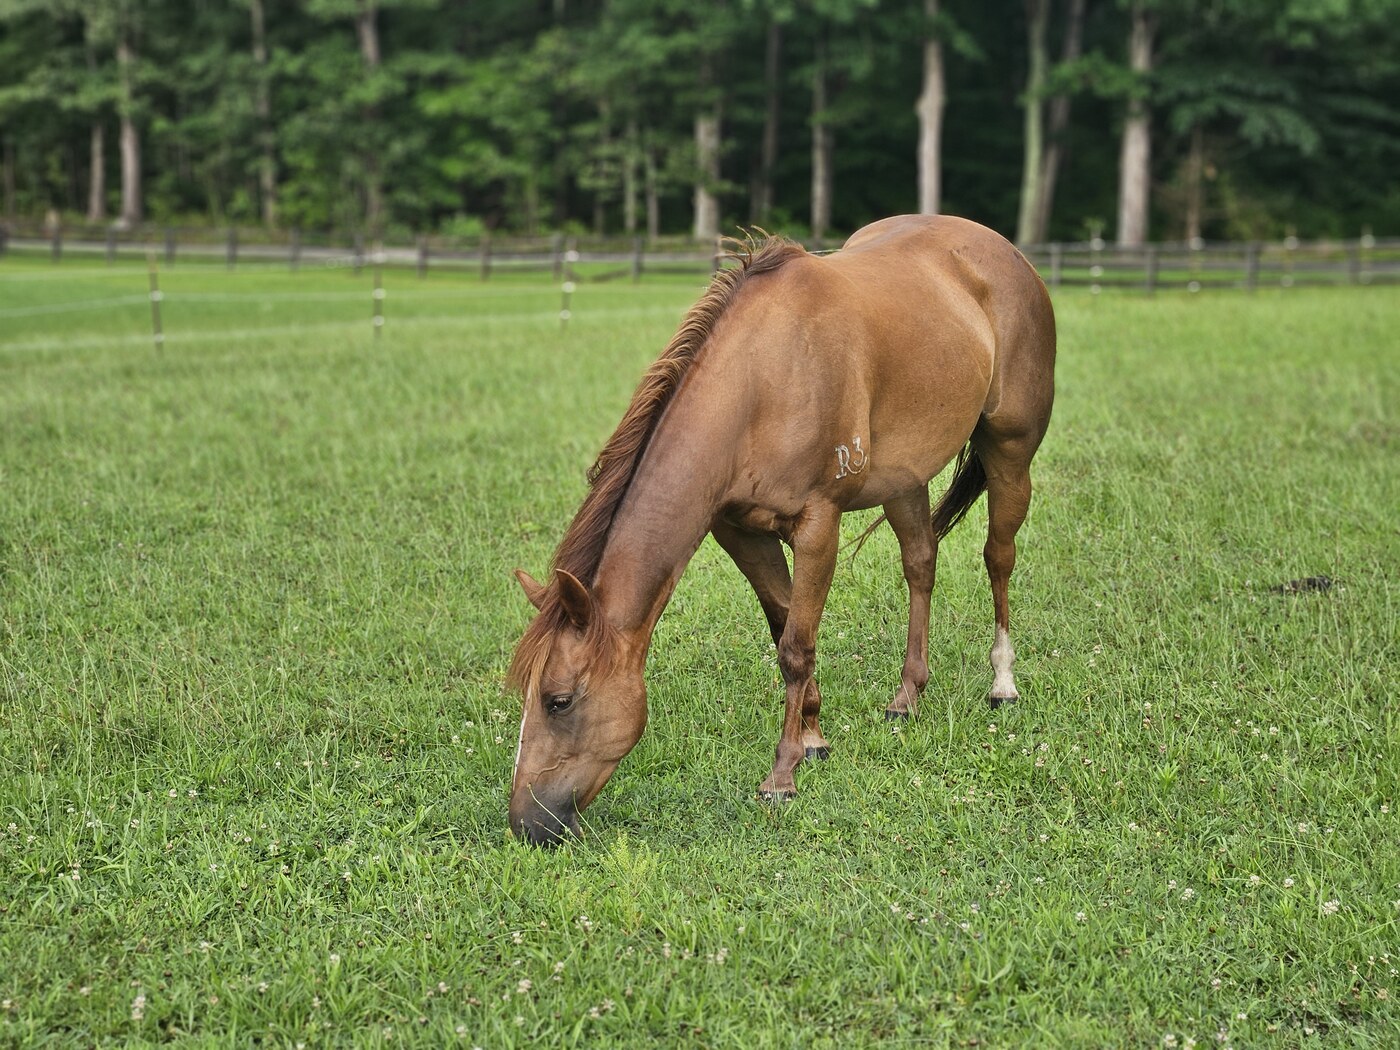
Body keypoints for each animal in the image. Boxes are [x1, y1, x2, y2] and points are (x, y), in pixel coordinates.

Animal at [507, 214, 1055, 846]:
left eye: (558, 701)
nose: (526, 824)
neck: (761, 383)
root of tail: (1004, 251)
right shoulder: (740, 532)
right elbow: (783, 625)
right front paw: (815, 736)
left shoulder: (818, 524)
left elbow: (796, 646)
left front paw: (783, 774)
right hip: (905, 480)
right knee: (921, 563)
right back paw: (907, 695)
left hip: (1010, 454)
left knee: (998, 556)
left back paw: (1002, 682)